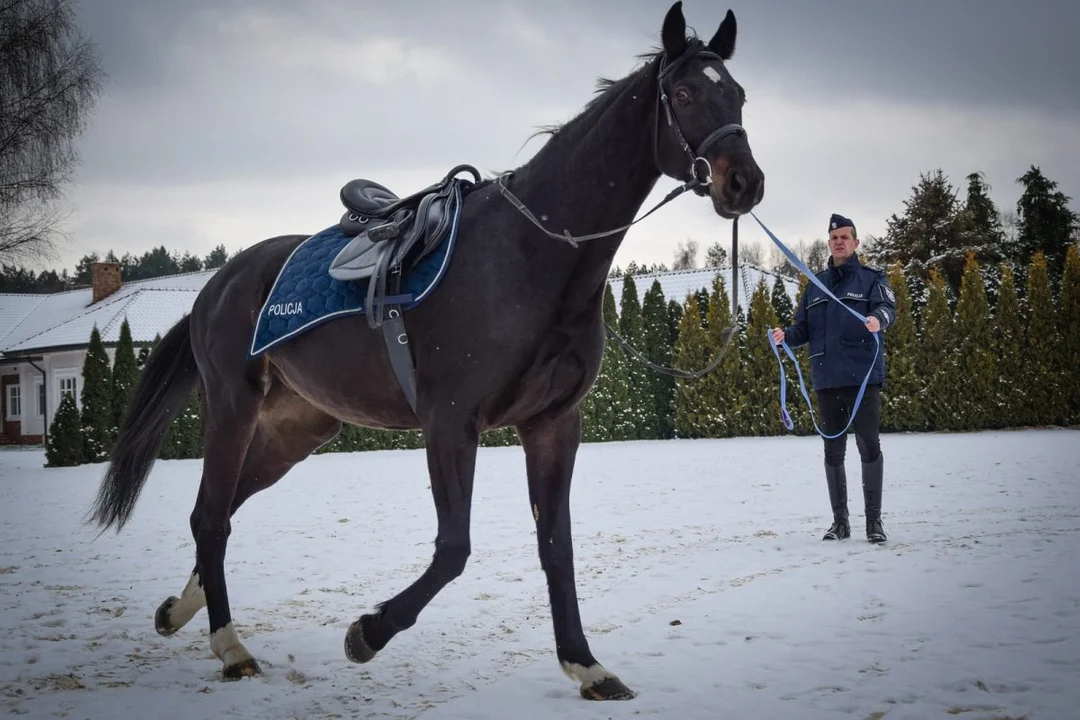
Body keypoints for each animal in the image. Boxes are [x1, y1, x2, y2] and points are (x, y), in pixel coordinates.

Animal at [90, 0, 768, 699]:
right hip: (232, 406)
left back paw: (180, 609)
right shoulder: (450, 422)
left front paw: (586, 664)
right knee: (211, 517)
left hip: (297, 428)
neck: (531, 253)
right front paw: (368, 631)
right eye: (684, 94)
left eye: (739, 94)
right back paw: (230, 647)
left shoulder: (553, 424)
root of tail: (216, 285)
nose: (743, 183)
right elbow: (453, 548)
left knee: (223, 509)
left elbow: (557, 546)